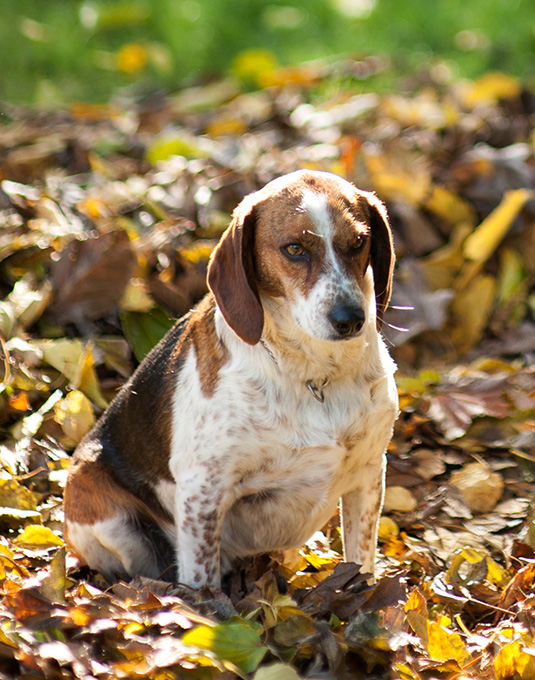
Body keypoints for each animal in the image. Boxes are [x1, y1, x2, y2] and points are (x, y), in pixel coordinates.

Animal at [63, 167, 398, 588]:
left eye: (358, 242)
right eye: (294, 249)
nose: (351, 319)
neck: (316, 372)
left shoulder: (368, 474)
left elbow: (362, 561)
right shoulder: (203, 489)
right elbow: (202, 580)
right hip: (106, 510)